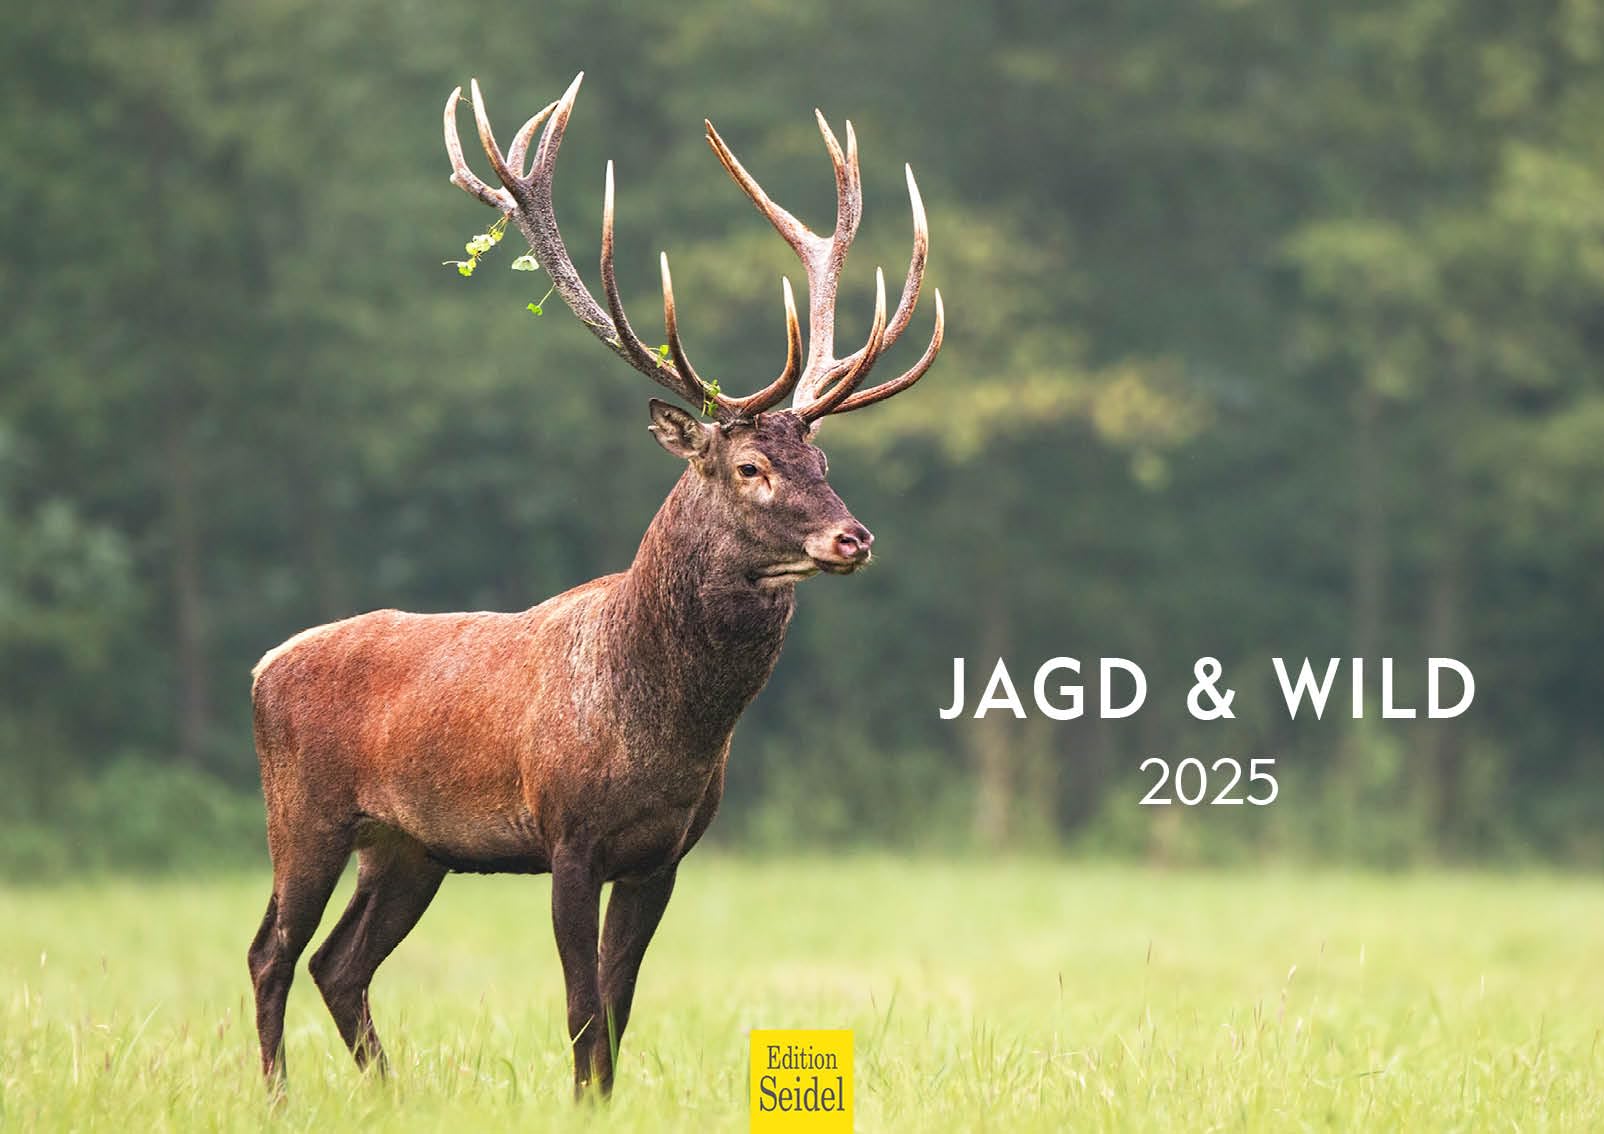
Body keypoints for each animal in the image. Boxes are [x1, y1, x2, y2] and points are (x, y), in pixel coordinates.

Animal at [246, 71, 943, 1099]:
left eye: (821, 458)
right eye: (749, 467)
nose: (852, 537)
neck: (666, 729)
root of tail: (261, 666)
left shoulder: (664, 854)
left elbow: (618, 1007)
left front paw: (603, 1103)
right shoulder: (566, 834)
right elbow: (580, 1008)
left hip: (410, 849)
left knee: (340, 964)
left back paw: (385, 1093)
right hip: (304, 812)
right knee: (273, 953)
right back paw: (279, 1097)